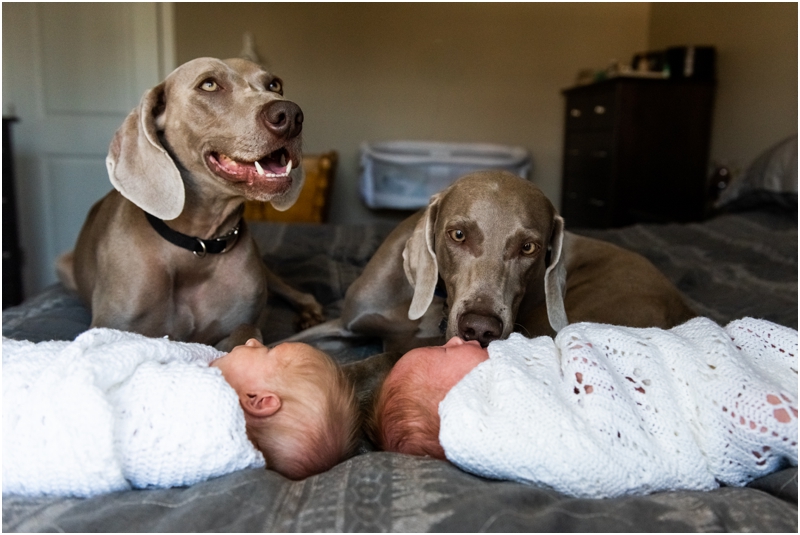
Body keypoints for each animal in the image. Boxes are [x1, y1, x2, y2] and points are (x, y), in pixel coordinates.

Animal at [57, 57, 324, 352]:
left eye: (275, 85)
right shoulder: (111, 327)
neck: (197, 245)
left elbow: (244, 334)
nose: (289, 115)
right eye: (209, 85)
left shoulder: (241, 323)